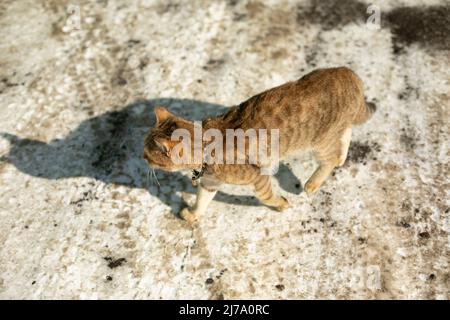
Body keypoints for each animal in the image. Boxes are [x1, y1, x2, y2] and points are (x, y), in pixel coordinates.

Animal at [142, 67, 374, 222]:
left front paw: (281, 204)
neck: (206, 148)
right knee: (346, 133)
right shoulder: (209, 183)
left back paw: (313, 183)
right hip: (335, 130)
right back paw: (342, 156)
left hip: (320, 142)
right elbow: (201, 201)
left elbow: (267, 197)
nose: (142, 158)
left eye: (147, 154)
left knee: (329, 159)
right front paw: (193, 214)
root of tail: (349, 73)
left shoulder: (258, 177)